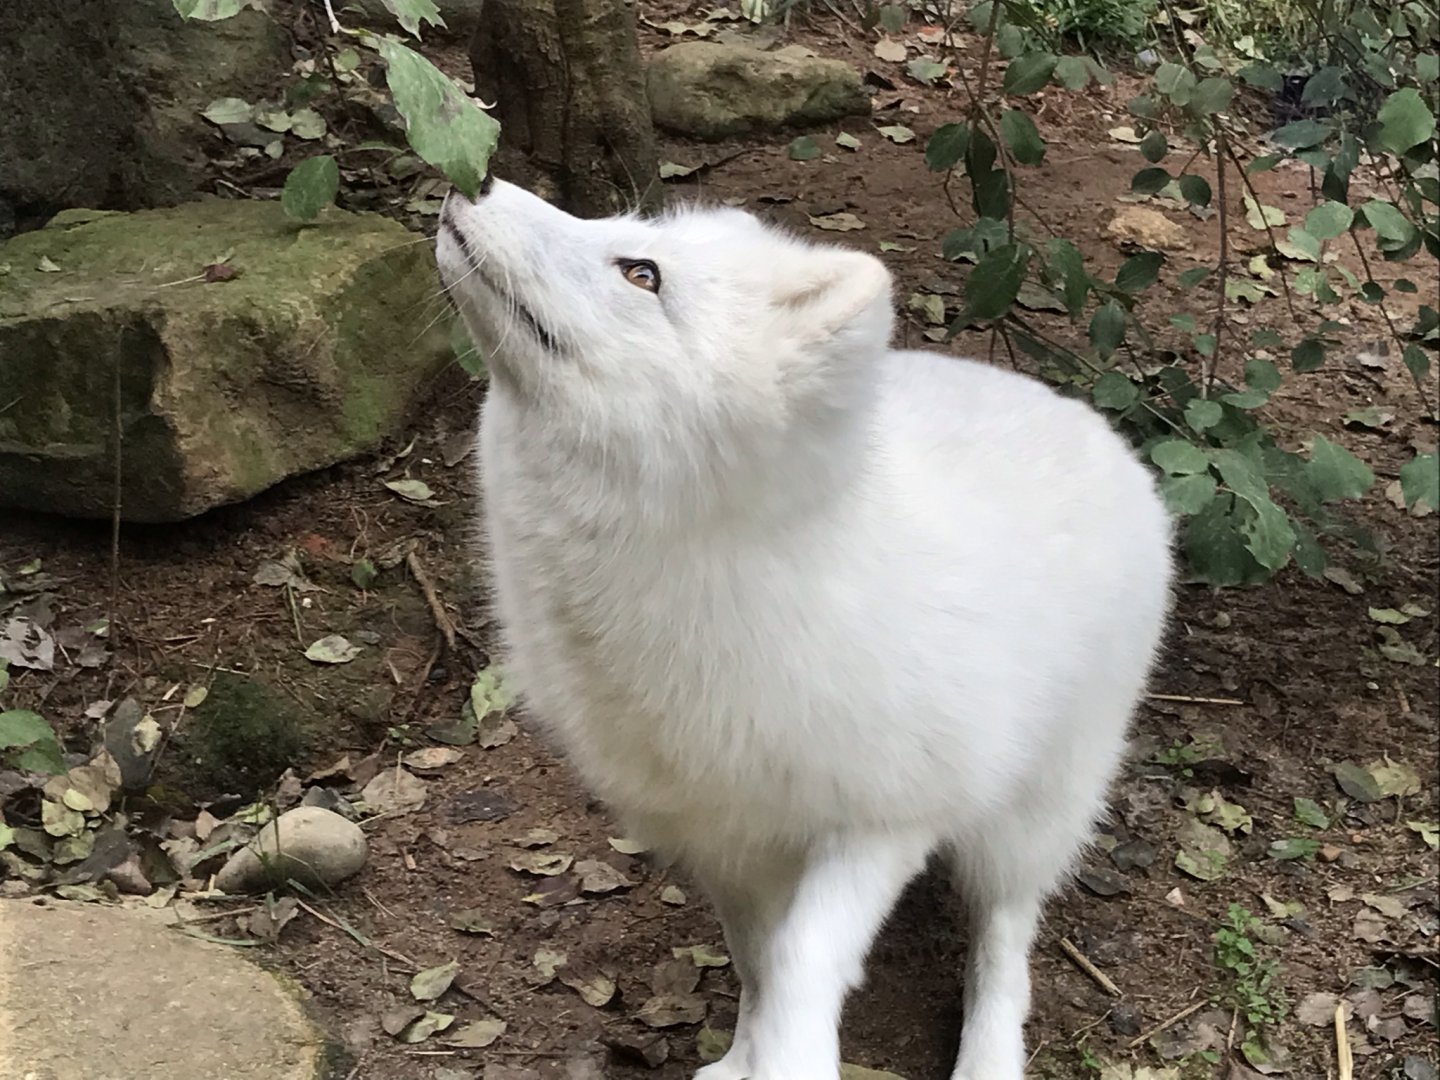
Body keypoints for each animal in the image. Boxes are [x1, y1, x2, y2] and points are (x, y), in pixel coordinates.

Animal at [437, 176, 1174, 1080]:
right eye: (612, 224)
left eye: (641, 273)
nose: (475, 183)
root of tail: (1098, 426)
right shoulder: (725, 841)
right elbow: (754, 958)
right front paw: (741, 1058)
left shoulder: (884, 824)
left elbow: (802, 958)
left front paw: (790, 1055)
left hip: (1036, 809)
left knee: (1006, 937)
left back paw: (989, 1055)